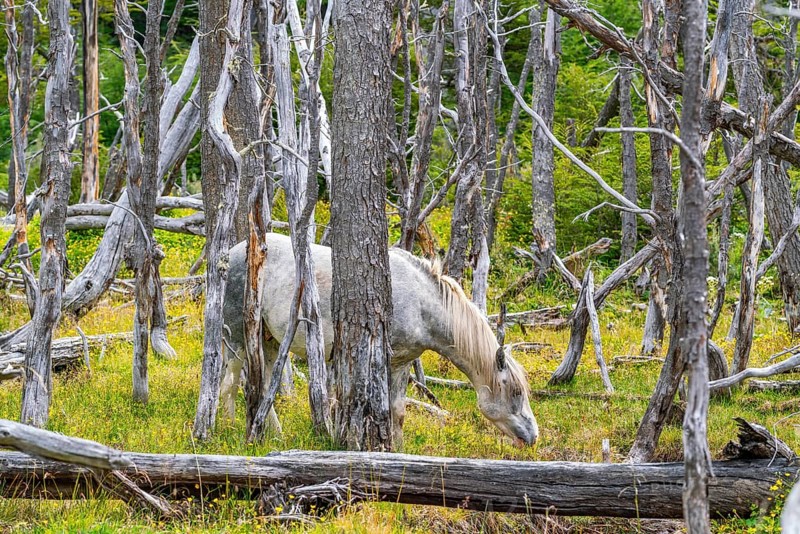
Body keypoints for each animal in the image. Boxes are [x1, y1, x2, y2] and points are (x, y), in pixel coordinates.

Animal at [220, 232, 538, 447]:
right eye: (516, 392)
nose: (533, 435)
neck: (421, 302)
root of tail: (230, 254)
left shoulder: (402, 363)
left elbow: (397, 411)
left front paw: (398, 449)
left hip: (271, 341)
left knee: (263, 385)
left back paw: (275, 434)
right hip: (238, 340)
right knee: (230, 383)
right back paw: (228, 429)